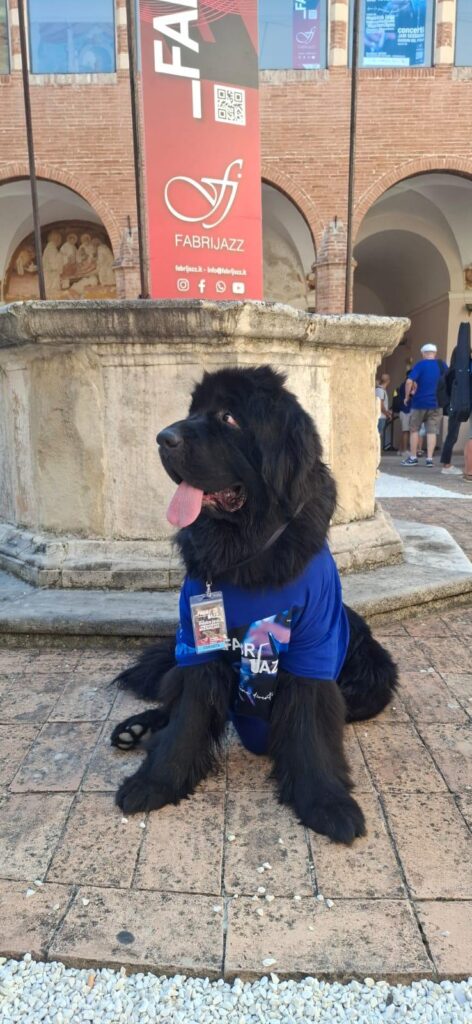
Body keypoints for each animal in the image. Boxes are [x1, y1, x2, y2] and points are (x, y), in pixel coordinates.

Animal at [111, 366, 397, 844]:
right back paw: (139, 730)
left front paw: (326, 803)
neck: (245, 556)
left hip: (373, 678)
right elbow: (187, 719)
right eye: (193, 411)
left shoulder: (312, 649)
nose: (163, 438)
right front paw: (156, 782)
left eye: (229, 418)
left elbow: (311, 732)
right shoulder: (196, 648)